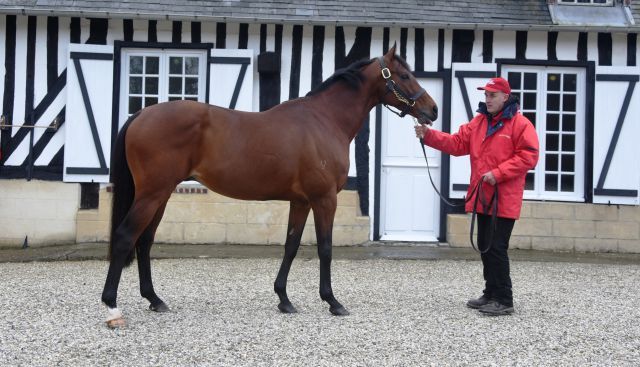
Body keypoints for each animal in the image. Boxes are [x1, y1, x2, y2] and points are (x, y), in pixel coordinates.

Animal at [102, 44, 438, 330]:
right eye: (405, 75)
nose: (432, 110)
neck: (325, 120)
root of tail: (141, 113)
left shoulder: (301, 201)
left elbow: (291, 246)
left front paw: (284, 299)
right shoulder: (324, 199)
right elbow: (325, 248)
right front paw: (332, 302)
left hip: (161, 195)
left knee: (144, 241)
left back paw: (155, 300)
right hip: (152, 194)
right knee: (125, 236)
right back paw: (112, 308)